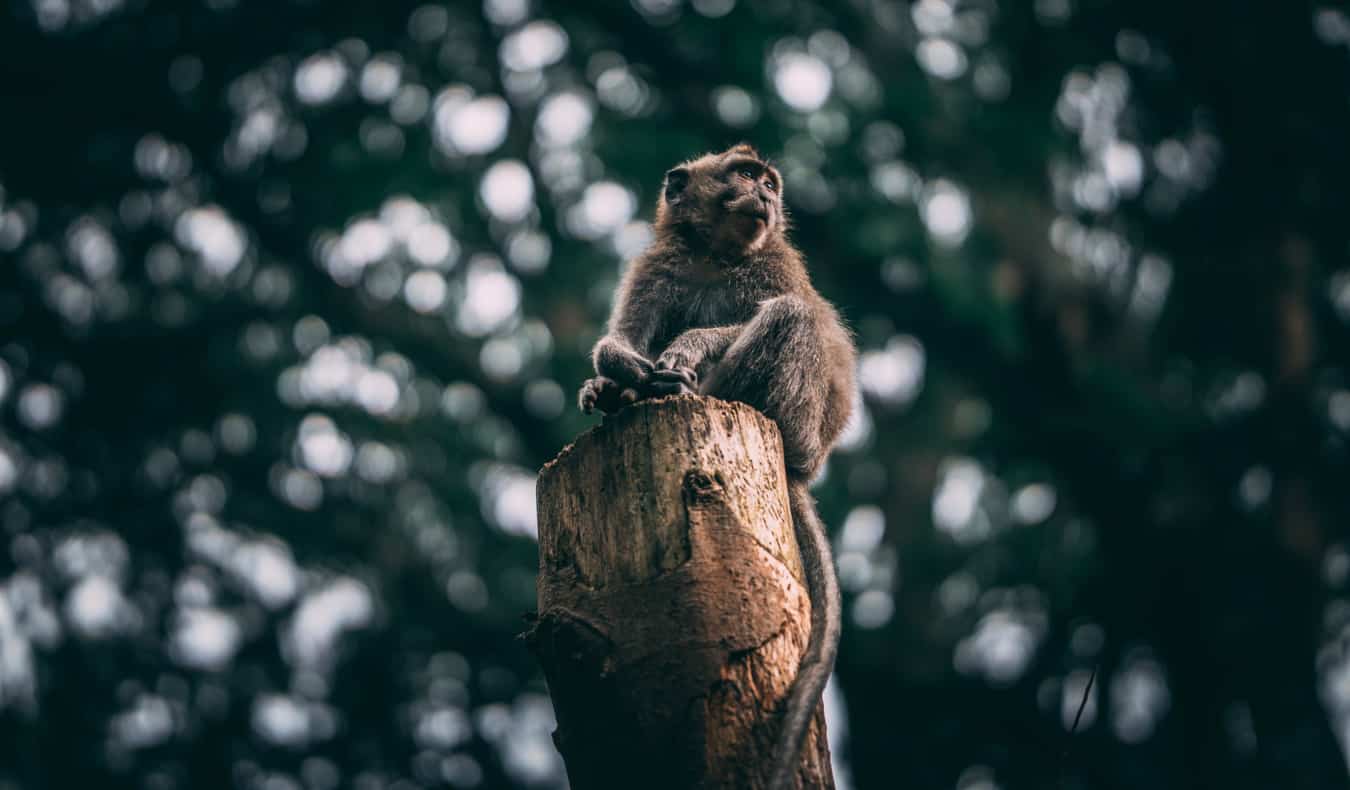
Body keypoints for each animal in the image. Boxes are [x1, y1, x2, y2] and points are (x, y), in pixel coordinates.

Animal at [577, 144, 853, 783]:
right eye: (746, 175)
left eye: (770, 183)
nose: (766, 197)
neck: (715, 254)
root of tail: (804, 463)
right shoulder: (657, 268)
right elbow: (625, 335)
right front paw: (613, 367)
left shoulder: (774, 263)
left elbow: (780, 308)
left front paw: (687, 349)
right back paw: (623, 393)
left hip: (795, 416)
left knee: (791, 316)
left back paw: (677, 387)